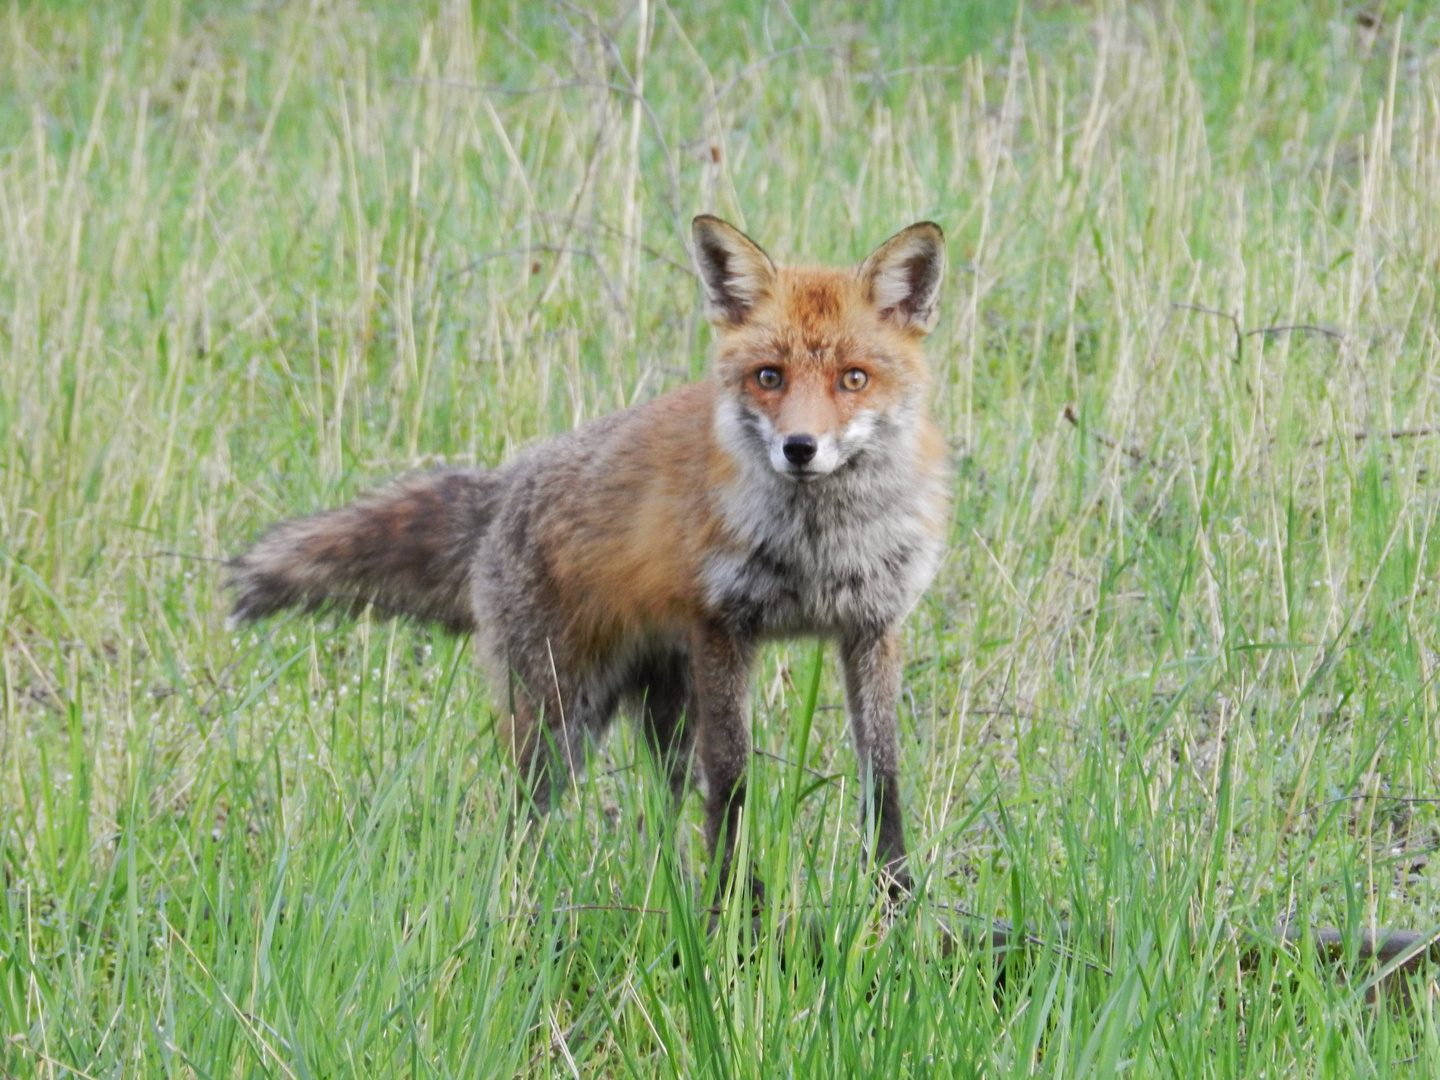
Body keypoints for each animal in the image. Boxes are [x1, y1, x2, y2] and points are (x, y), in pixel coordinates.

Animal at [230, 217, 950, 904]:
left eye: (853, 378)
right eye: (768, 376)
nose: (800, 448)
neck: (818, 549)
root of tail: (506, 485)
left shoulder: (871, 627)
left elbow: (883, 779)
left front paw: (894, 897)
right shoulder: (725, 627)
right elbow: (733, 783)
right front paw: (735, 907)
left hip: (663, 710)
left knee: (664, 808)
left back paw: (668, 892)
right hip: (561, 717)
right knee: (522, 819)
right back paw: (525, 905)